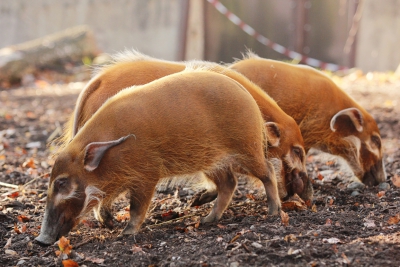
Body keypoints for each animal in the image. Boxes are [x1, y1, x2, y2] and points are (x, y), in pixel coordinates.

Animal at [36, 70, 282, 246]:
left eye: (62, 183)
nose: (40, 240)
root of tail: (246, 95)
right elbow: (105, 201)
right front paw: (110, 224)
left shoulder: (146, 175)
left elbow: (137, 207)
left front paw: (125, 233)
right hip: (212, 161)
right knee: (229, 183)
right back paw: (206, 220)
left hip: (248, 149)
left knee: (268, 171)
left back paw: (273, 212)